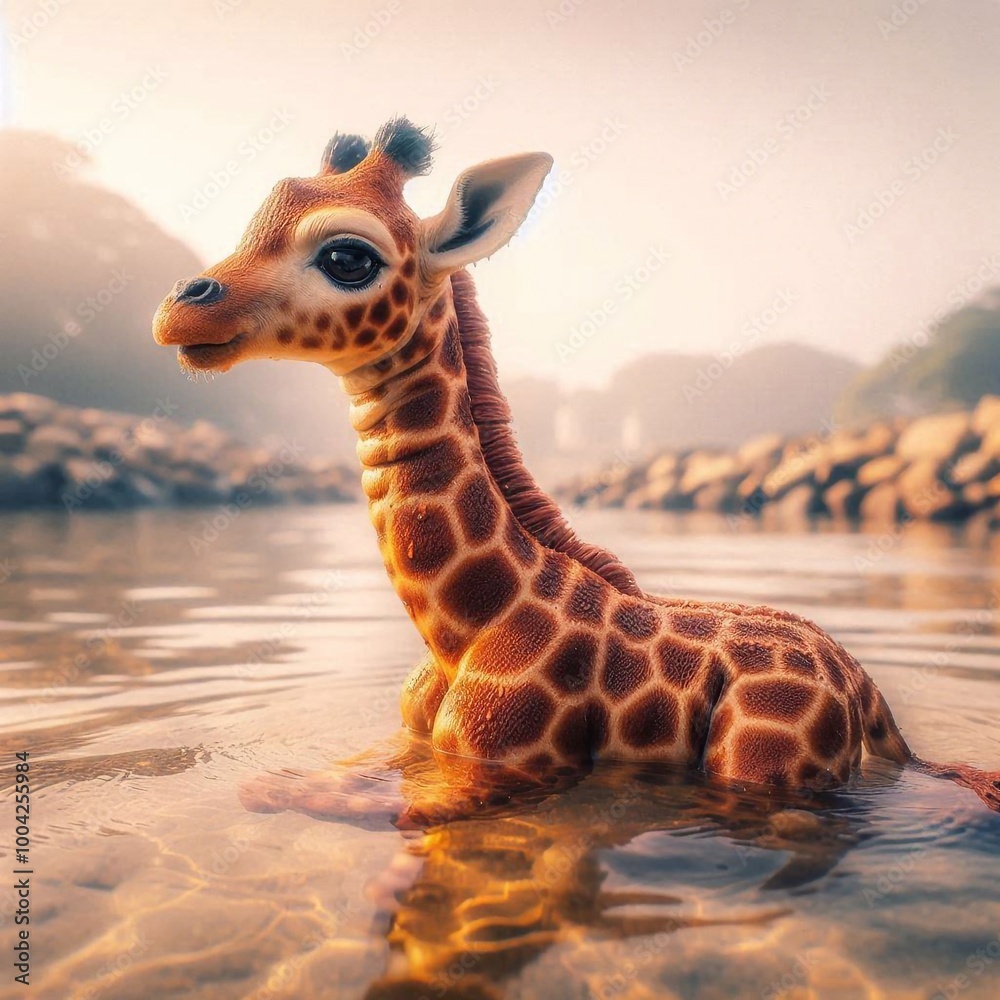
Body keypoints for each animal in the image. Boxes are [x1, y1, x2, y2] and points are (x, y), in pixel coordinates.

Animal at [152, 116, 1000, 819]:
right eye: (255, 218)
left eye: (347, 257)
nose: (180, 310)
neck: (463, 624)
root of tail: (867, 690)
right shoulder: (413, 745)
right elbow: (295, 787)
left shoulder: (507, 765)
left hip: (763, 765)